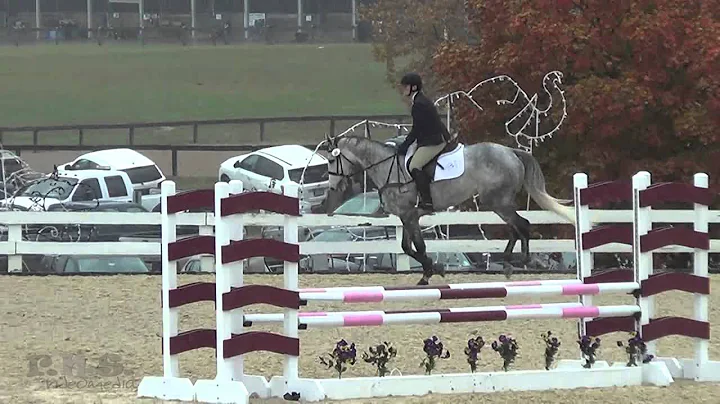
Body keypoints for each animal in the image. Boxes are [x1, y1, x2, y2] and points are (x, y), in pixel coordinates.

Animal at [324, 134, 576, 286]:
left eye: (331, 160)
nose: (334, 187)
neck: (387, 167)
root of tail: (511, 151)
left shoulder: (409, 214)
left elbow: (417, 247)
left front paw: (430, 270)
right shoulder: (407, 216)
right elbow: (407, 247)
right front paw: (433, 267)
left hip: (497, 201)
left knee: (522, 224)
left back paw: (519, 260)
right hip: (498, 202)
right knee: (516, 226)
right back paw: (508, 262)